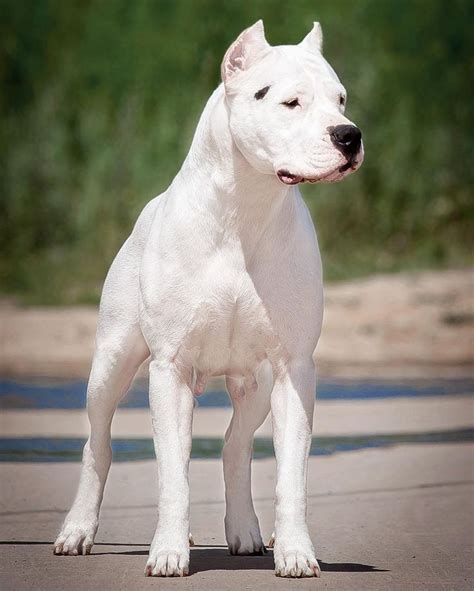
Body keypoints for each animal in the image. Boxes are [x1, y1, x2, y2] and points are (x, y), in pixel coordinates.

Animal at [53, 19, 362, 580]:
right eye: (291, 102)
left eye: (341, 99)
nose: (350, 135)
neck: (246, 210)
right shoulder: (170, 370)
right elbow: (172, 473)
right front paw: (169, 552)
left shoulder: (293, 371)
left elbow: (291, 477)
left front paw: (296, 551)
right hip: (110, 365)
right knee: (97, 442)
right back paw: (78, 530)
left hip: (258, 385)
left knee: (234, 446)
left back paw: (245, 532)